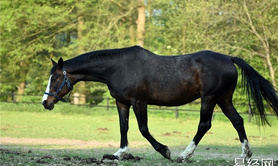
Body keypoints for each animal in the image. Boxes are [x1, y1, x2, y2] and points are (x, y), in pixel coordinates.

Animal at [41, 45, 278, 162]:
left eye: (55, 78)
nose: (45, 102)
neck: (118, 68)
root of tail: (229, 58)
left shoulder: (139, 102)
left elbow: (143, 129)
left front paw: (165, 150)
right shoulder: (122, 102)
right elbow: (123, 127)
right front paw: (120, 154)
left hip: (209, 99)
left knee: (204, 125)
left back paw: (184, 155)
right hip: (224, 99)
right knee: (238, 121)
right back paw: (245, 154)